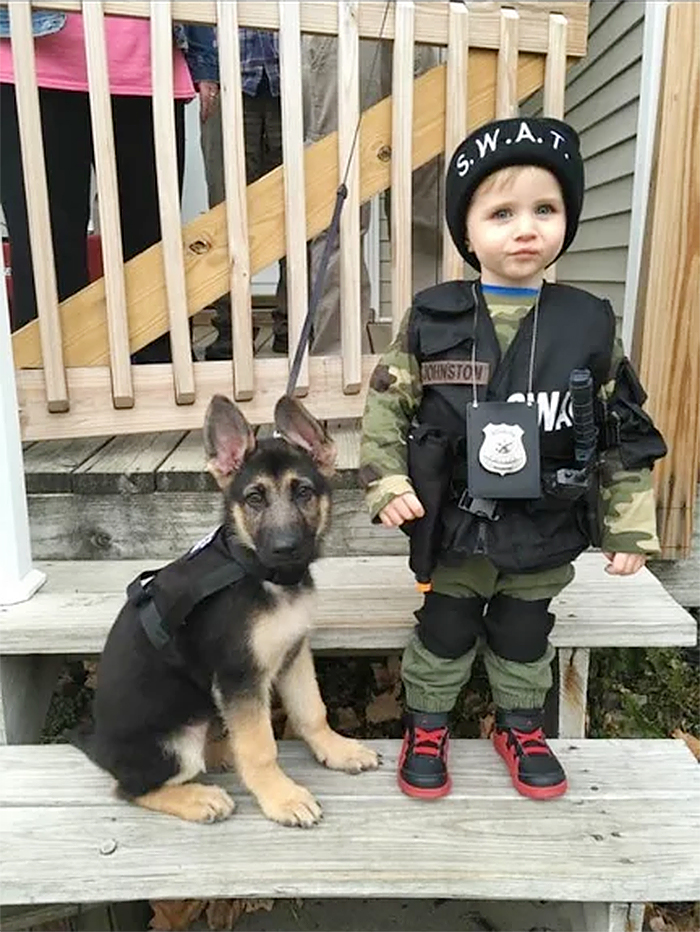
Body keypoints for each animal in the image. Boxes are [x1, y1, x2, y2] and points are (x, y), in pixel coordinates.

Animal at [72, 394, 378, 824]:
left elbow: (312, 711)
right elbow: (261, 746)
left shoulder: (294, 653)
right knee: (131, 789)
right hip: (177, 739)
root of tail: (100, 750)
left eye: (303, 492)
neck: (260, 573)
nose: (285, 548)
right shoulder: (240, 677)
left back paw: (221, 752)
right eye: (254, 498)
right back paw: (198, 797)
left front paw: (337, 749)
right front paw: (281, 796)